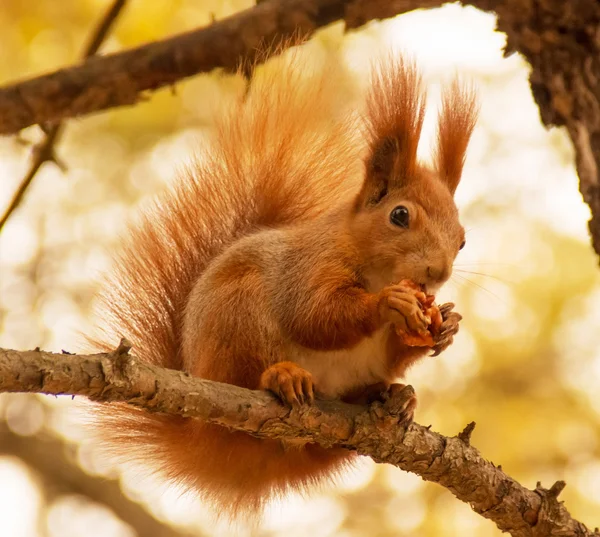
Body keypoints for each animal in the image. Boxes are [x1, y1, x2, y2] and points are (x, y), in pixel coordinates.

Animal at [86, 48, 478, 520]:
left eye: (462, 239)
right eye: (399, 215)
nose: (438, 274)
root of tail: (202, 431)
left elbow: (393, 349)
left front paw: (448, 324)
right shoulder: (307, 267)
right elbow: (314, 316)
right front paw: (389, 302)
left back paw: (394, 396)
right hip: (238, 316)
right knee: (251, 369)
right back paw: (281, 376)